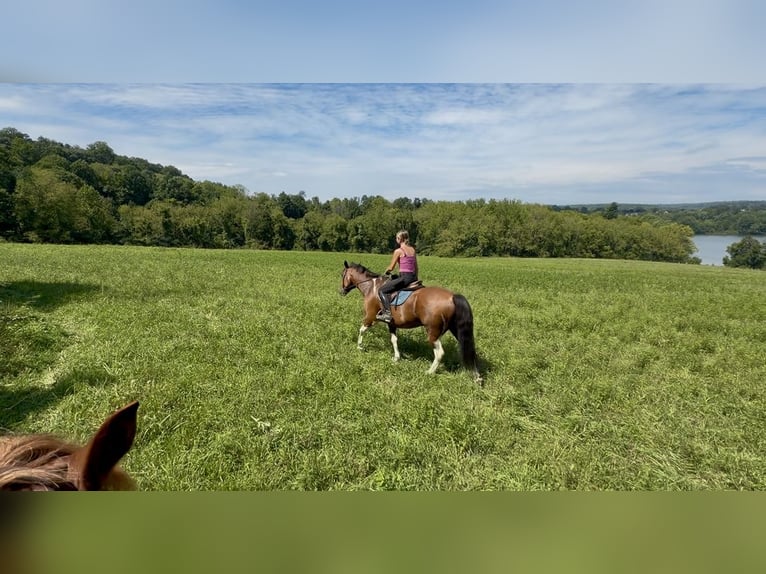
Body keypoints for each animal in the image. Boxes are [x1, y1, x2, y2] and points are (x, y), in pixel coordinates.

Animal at [340, 261, 482, 384]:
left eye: (342, 275)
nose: (341, 291)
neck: (372, 287)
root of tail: (452, 296)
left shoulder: (370, 317)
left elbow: (361, 330)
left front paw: (360, 346)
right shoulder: (391, 323)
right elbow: (394, 340)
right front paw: (396, 358)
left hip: (432, 332)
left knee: (440, 353)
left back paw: (429, 372)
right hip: (456, 330)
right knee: (470, 351)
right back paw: (477, 377)